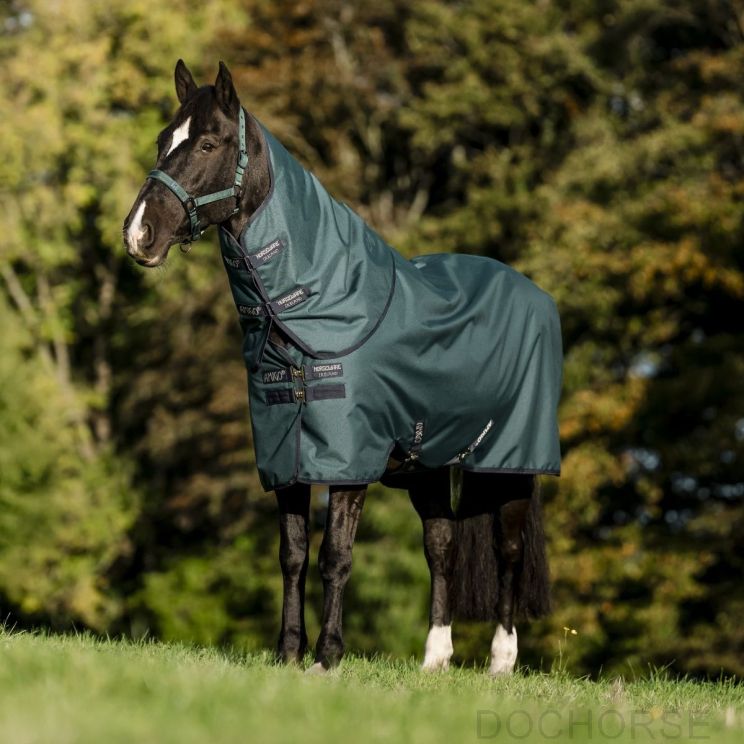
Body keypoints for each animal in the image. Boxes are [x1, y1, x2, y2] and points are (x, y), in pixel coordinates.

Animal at [123, 60, 560, 675]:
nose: (139, 234)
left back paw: (501, 660)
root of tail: (535, 295)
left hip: (510, 464)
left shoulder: (349, 463)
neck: (318, 305)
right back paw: (434, 658)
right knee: (442, 546)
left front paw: (327, 657)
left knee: (509, 548)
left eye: (207, 143)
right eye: (164, 140)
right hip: (427, 464)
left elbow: (335, 555)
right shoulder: (286, 455)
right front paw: (287, 653)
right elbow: (293, 555)